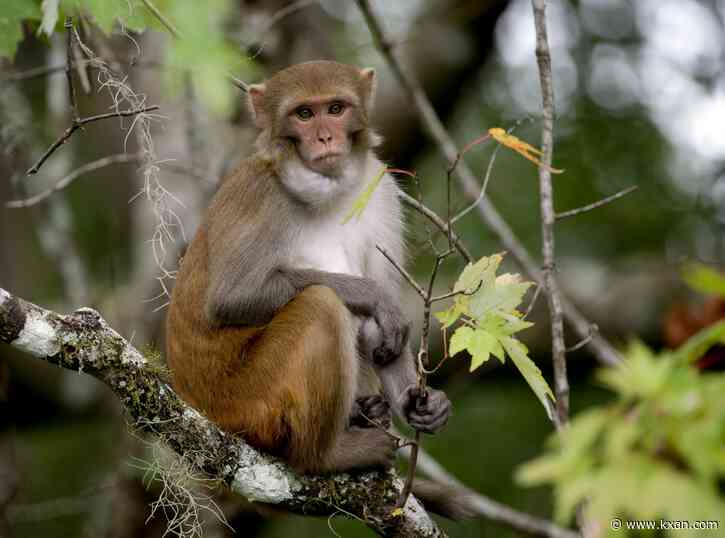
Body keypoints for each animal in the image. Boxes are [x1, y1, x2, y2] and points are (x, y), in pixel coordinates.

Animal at [166, 61, 467, 514]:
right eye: (304, 114)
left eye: (336, 108)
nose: (325, 137)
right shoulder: (259, 191)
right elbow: (231, 298)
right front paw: (374, 297)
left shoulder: (380, 190)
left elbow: (384, 332)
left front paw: (421, 404)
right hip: (246, 402)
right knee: (321, 306)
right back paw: (327, 456)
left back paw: (367, 411)